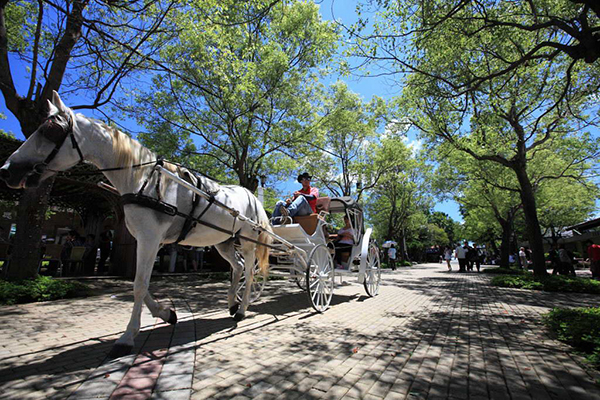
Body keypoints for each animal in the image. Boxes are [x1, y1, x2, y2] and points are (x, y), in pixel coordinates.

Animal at [0, 91, 272, 356]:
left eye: (50, 130)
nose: (6, 170)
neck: (144, 180)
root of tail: (251, 196)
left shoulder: (150, 238)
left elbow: (140, 285)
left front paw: (127, 337)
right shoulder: (149, 240)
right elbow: (141, 282)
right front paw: (166, 313)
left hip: (247, 241)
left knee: (249, 271)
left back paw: (242, 308)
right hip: (223, 241)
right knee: (237, 267)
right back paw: (232, 302)